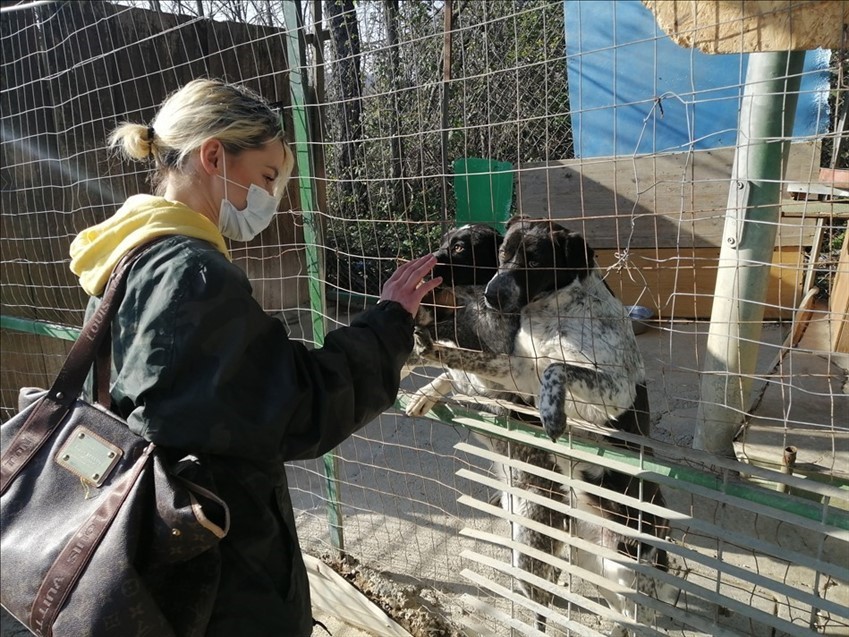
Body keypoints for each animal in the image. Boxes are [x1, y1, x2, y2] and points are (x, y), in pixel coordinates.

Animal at [414, 217, 672, 632]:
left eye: (535, 261)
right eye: (503, 254)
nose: (493, 295)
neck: (552, 318)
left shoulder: (613, 389)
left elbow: (556, 369)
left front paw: (551, 413)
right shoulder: (515, 370)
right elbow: (461, 359)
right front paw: (425, 357)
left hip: (619, 566)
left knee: (634, 616)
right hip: (590, 566)